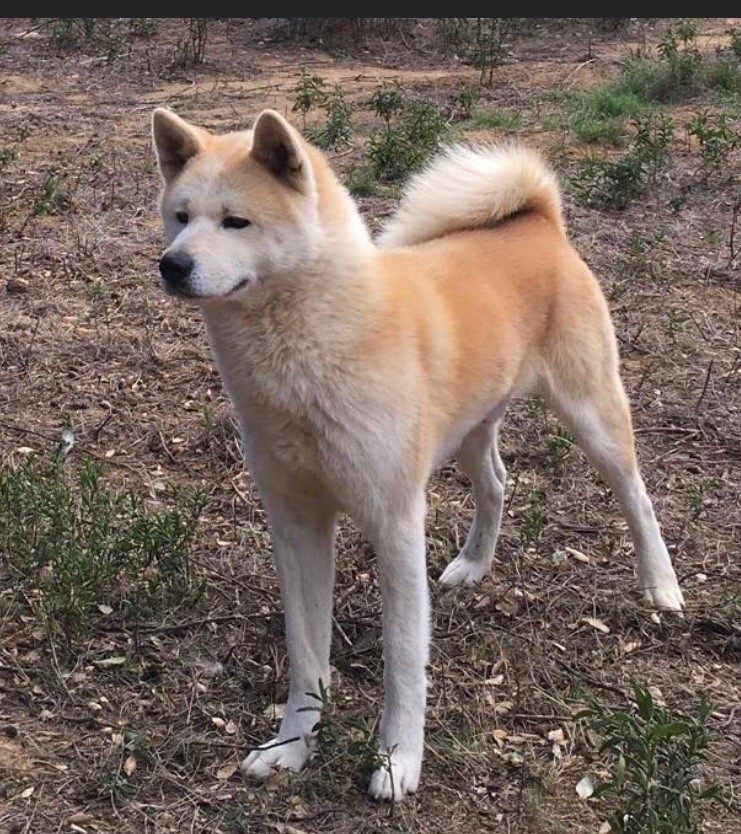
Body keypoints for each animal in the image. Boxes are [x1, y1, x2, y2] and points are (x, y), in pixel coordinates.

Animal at [150, 107, 684, 796]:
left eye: (235, 221)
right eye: (181, 216)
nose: (172, 264)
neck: (306, 355)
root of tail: (539, 221)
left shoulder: (395, 523)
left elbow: (404, 659)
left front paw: (398, 761)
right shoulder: (296, 524)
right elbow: (306, 654)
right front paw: (293, 746)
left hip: (594, 419)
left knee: (638, 498)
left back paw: (662, 586)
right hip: (472, 430)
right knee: (497, 483)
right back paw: (474, 565)